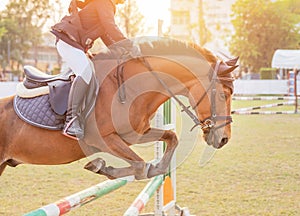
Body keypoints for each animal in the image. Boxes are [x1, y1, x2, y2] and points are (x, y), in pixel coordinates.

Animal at [0, 38, 237, 180]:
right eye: (223, 94)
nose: (224, 139)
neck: (133, 87)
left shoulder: (134, 134)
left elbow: (170, 138)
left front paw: (156, 168)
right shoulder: (101, 139)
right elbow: (139, 166)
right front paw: (101, 167)